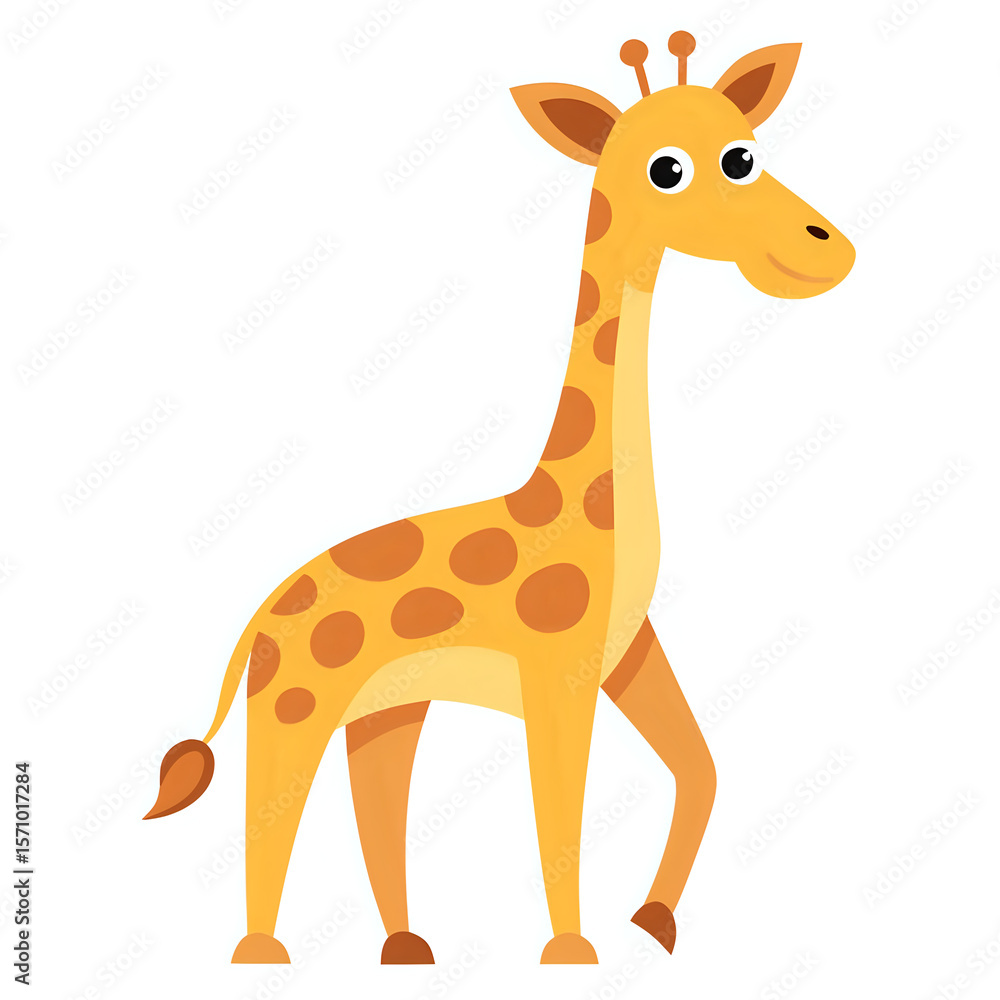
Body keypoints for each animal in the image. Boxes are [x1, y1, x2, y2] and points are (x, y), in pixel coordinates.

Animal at [145, 32, 855, 965]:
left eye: (747, 151)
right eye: (668, 169)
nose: (827, 248)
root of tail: (256, 623)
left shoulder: (628, 653)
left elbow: (699, 766)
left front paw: (653, 921)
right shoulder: (557, 669)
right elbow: (560, 810)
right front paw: (573, 952)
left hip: (388, 711)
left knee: (374, 802)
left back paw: (405, 948)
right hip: (294, 708)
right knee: (271, 810)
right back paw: (262, 956)